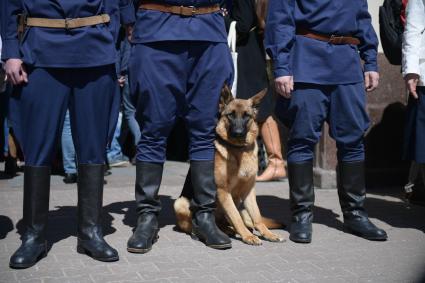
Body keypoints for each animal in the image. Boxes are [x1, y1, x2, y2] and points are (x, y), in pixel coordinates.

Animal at [172, 85, 284, 245]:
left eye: (246, 116)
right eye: (230, 115)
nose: (238, 133)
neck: (239, 150)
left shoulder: (249, 190)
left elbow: (257, 216)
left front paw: (268, 234)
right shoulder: (223, 191)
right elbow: (236, 217)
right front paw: (248, 236)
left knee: (237, 220)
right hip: (180, 203)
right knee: (203, 223)